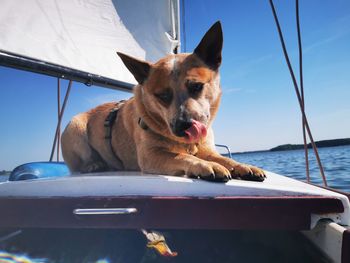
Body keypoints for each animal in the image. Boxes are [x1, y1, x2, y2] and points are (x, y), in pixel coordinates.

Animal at [62, 21, 266, 183]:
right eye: (162, 95)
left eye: (197, 86)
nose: (185, 125)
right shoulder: (151, 155)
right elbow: (181, 156)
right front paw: (206, 166)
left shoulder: (207, 149)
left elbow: (225, 159)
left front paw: (243, 166)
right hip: (75, 126)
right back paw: (94, 165)